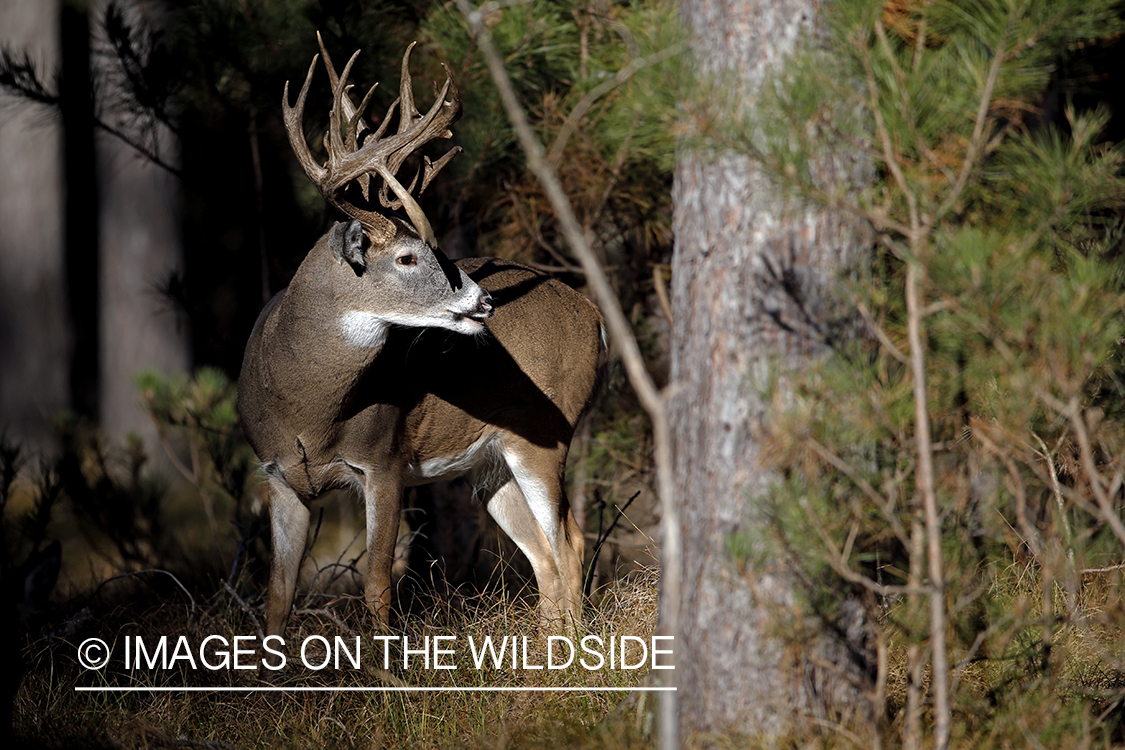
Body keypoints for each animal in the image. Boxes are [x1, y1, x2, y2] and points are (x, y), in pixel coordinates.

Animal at [239, 38, 607, 638]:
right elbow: (277, 597)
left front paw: (385, 661)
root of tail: (592, 314)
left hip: (544, 431)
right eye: (409, 257)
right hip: (491, 465)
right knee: (544, 557)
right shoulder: (278, 476)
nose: (483, 301)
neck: (306, 409)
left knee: (569, 542)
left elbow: (377, 584)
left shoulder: (384, 460)